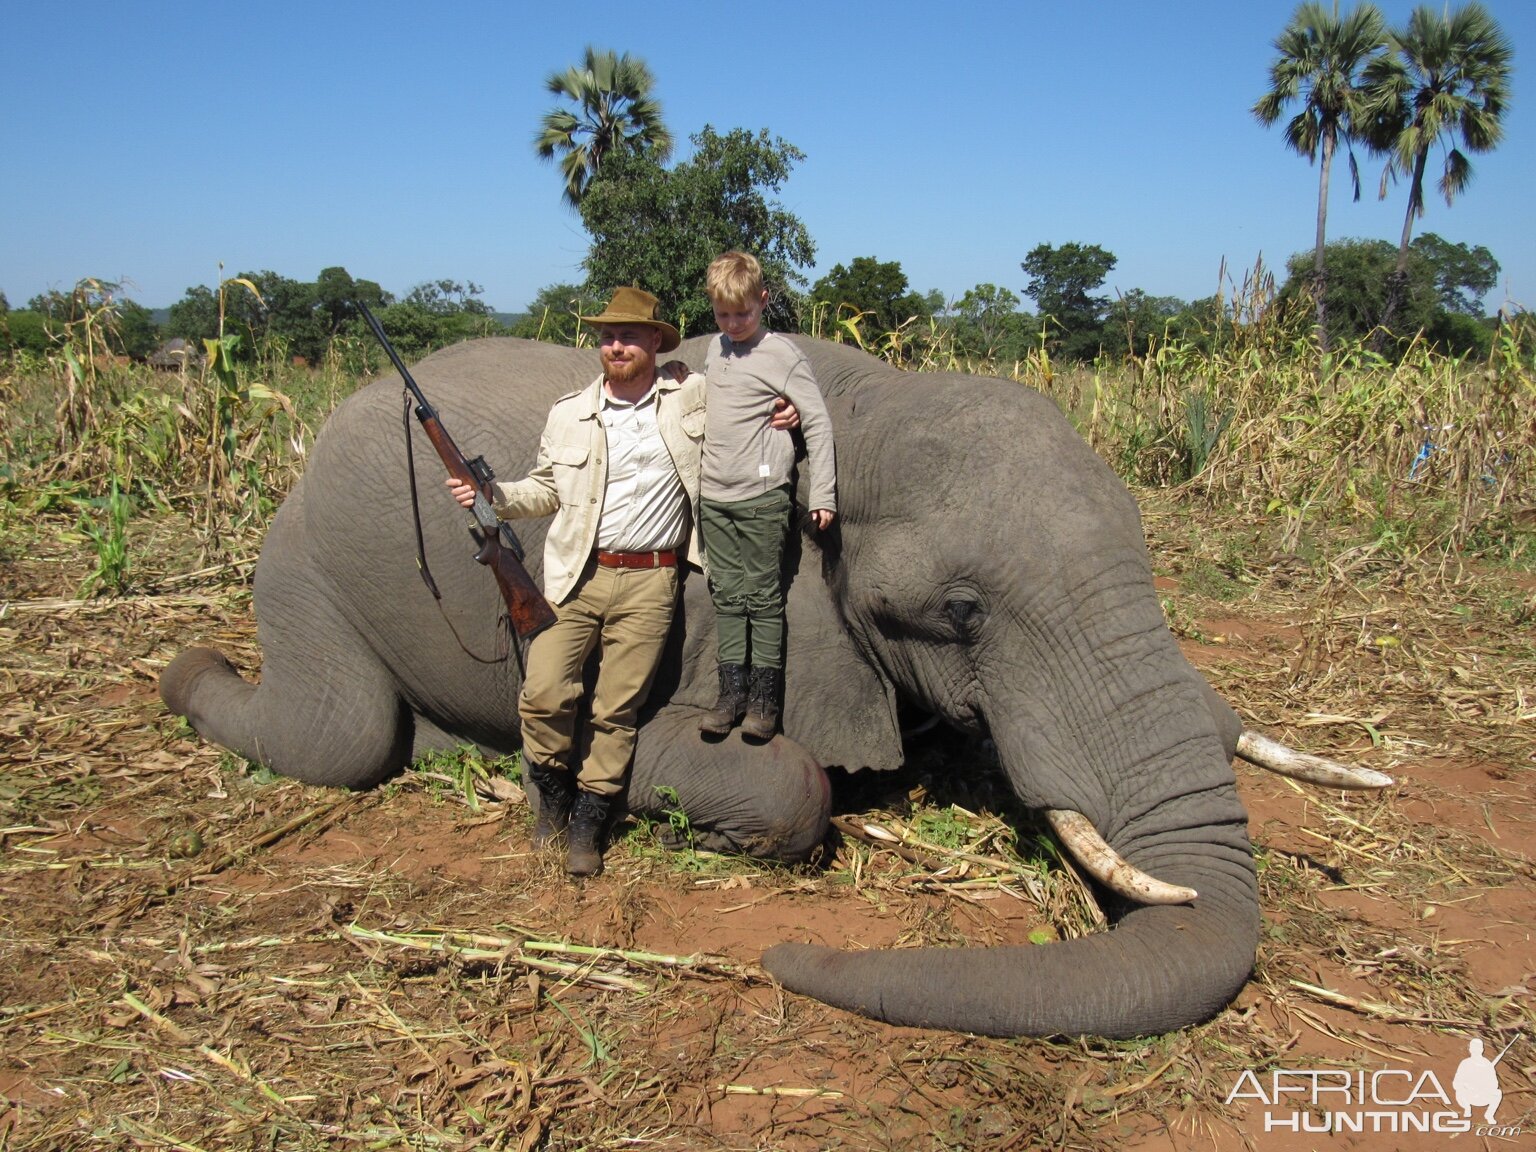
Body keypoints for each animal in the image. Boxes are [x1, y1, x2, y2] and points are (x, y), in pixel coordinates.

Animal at [162, 336, 1388, 1044]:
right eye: (964, 610)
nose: (779, 968)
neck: (855, 406)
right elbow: (766, 774)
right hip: (303, 558)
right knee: (337, 735)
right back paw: (193, 674)